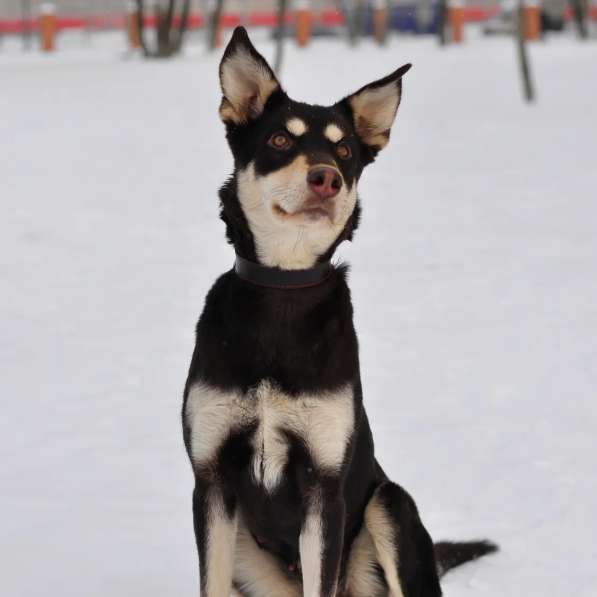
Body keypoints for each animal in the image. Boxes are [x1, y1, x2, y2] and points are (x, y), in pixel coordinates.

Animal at [180, 25, 494, 592]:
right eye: (280, 140)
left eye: (344, 149)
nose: (326, 177)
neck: (283, 289)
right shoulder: (211, 480)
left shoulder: (324, 487)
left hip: (389, 505)